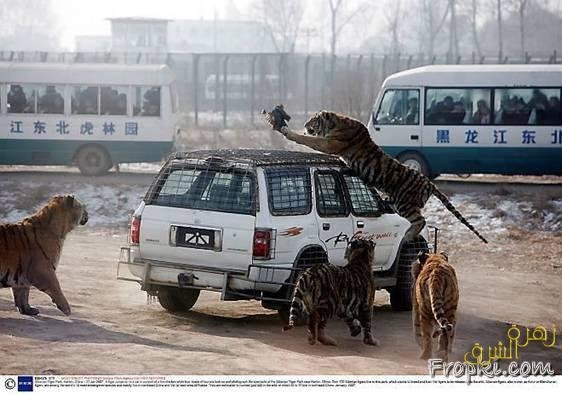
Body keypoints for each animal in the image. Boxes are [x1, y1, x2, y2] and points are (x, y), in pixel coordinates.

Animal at [262, 107, 486, 243]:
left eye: (313, 120)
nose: (305, 125)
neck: (336, 122)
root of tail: (429, 183)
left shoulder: (329, 144)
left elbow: (309, 141)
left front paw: (288, 131)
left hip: (404, 202)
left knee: (420, 220)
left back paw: (407, 236)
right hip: (397, 201)